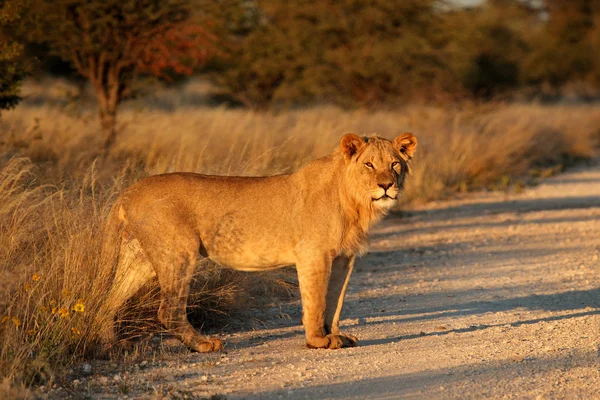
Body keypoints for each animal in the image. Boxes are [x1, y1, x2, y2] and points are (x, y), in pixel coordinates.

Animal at [98, 133, 418, 352]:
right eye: (368, 164)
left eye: (394, 164)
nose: (386, 185)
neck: (356, 203)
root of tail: (128, 191)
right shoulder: (313, 254)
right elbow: (316, 300)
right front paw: (318, 340)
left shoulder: (343, 258)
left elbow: (334, 301)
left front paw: (335, 334)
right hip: (179, 253)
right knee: (169, 309)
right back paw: (202, 345)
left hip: (139, 258)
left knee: (109, 300)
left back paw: (111, 344)